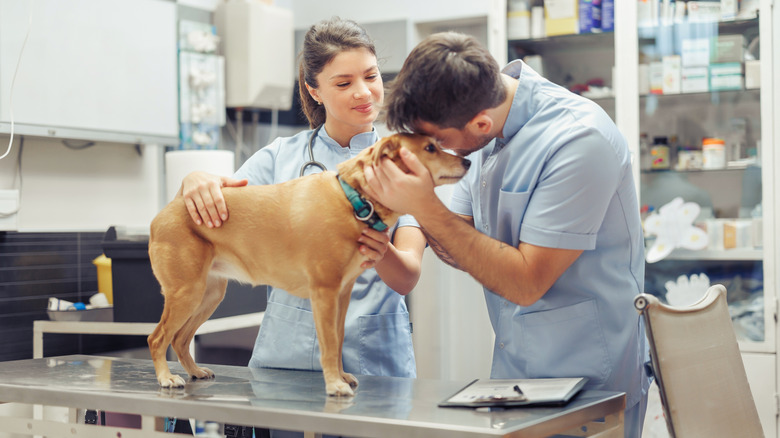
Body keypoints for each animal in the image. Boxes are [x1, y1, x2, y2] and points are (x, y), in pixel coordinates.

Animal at [146, 133, 470, 396]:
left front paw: (341, 375)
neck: (354, 200)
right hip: (187, 292)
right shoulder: (324, 293)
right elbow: (328, 344)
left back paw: (194, 371)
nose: (467, 161)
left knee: (180, 339)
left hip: (209, 294)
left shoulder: (341, 295)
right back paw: (166, 378)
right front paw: (334, 384)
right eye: (430, 147)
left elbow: (338, 340)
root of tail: (164, 212)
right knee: (158, 337)